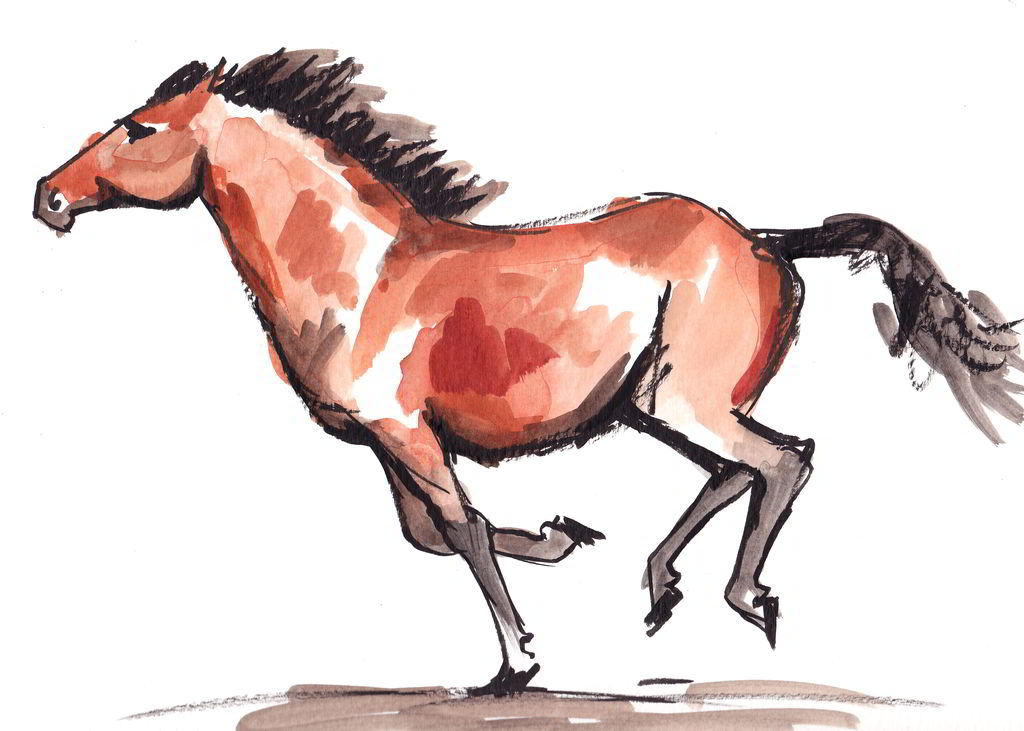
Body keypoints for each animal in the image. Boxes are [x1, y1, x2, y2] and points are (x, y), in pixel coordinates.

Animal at [33, 49, 1023, 694]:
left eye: (138, 128)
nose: (47, 195)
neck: (356, 267)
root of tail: (762, 239)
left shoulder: (404, 430)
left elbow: (460, 527)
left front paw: (516, 661)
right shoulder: (387, 442)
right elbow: (430, 533)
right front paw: (562, 536)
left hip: (684, 398)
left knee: (783, 459)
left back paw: (746, 599)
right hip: (653, 403)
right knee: (737, 470)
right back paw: (660, 583)